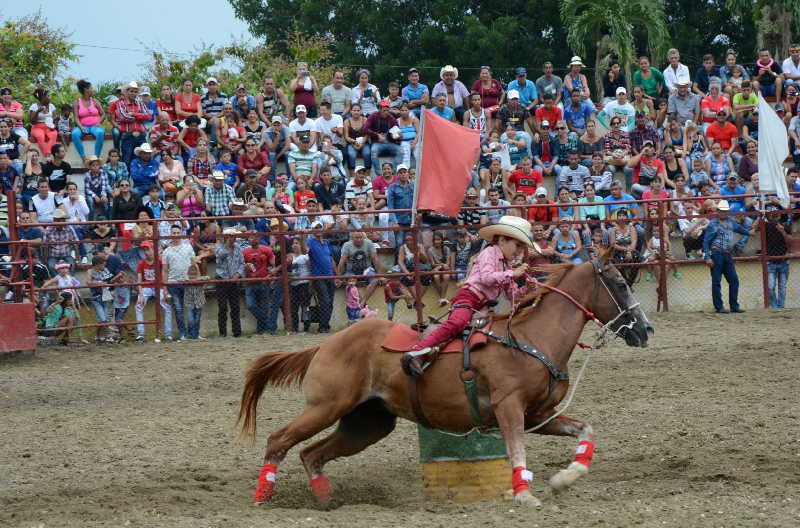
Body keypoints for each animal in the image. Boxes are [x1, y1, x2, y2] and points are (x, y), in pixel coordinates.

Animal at [239, 256, 656, 508]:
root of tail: (326, 344)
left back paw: (326, 500)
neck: (532, 337)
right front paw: (524, 496)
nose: (646, 330)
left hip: (367, 423)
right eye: (620, 284)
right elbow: (516, 450)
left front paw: (565, 479)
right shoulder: (508, 407)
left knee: (312, 454)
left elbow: (585, 430)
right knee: (279, 440)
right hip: (326, 406)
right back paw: (262, 496)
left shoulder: (540, 414)